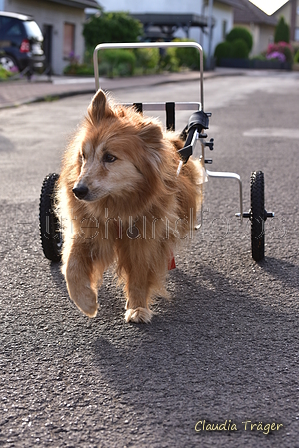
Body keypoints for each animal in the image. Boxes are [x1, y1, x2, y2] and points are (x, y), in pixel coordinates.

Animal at [56, 90, 203, 322]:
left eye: (110, 157)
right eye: (83, 156)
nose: (77, 190)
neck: (117, 205)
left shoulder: (144, 241)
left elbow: (139, 275)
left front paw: (137, 307)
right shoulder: (88, 232)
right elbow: (71, 264)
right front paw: (86, 302)